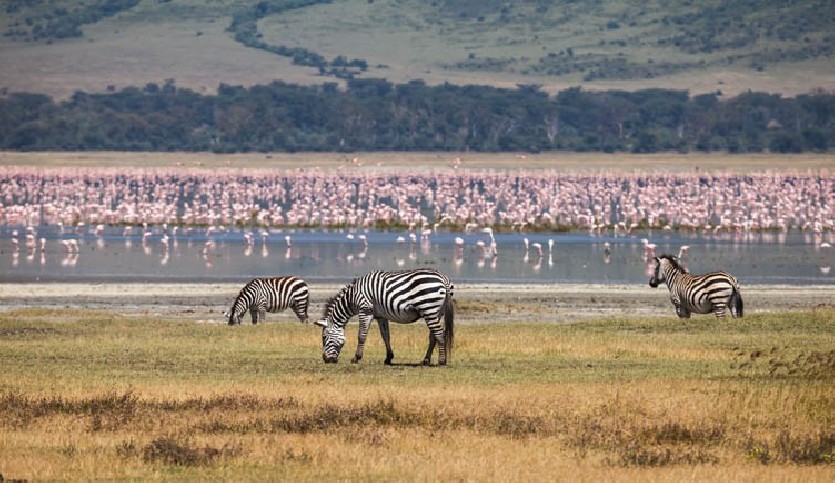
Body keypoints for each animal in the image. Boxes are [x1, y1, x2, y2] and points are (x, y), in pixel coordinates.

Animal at [316, 268, 458, 366]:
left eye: (324, 337)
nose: (326, 360)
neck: (353, 297)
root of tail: (443, 279)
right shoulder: (380, 316)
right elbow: (386, 336)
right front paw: (388, 357)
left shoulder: (365, 310)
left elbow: (361, 335)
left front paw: (356, 358)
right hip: (436, 312)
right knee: (433, 336)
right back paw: (426, 360)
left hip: (429, 308)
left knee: (439, 334)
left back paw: (441, 361)